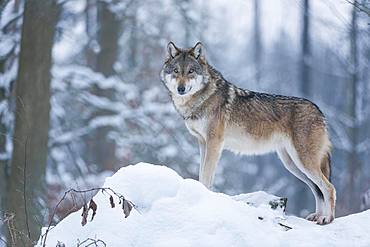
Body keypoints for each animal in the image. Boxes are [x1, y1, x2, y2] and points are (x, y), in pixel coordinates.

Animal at [160, 41, 336, 225]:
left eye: (190, 71)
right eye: (176, 71)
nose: (181, 88)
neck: (201, 98)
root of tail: (320, 112)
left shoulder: (214, 143)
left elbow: (206, 176)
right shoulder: (203, 143)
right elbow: (202, 174)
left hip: (303, 161)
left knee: (329, 188)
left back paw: (327, 218)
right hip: (292, 163)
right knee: (317, 189)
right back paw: (317, 216)